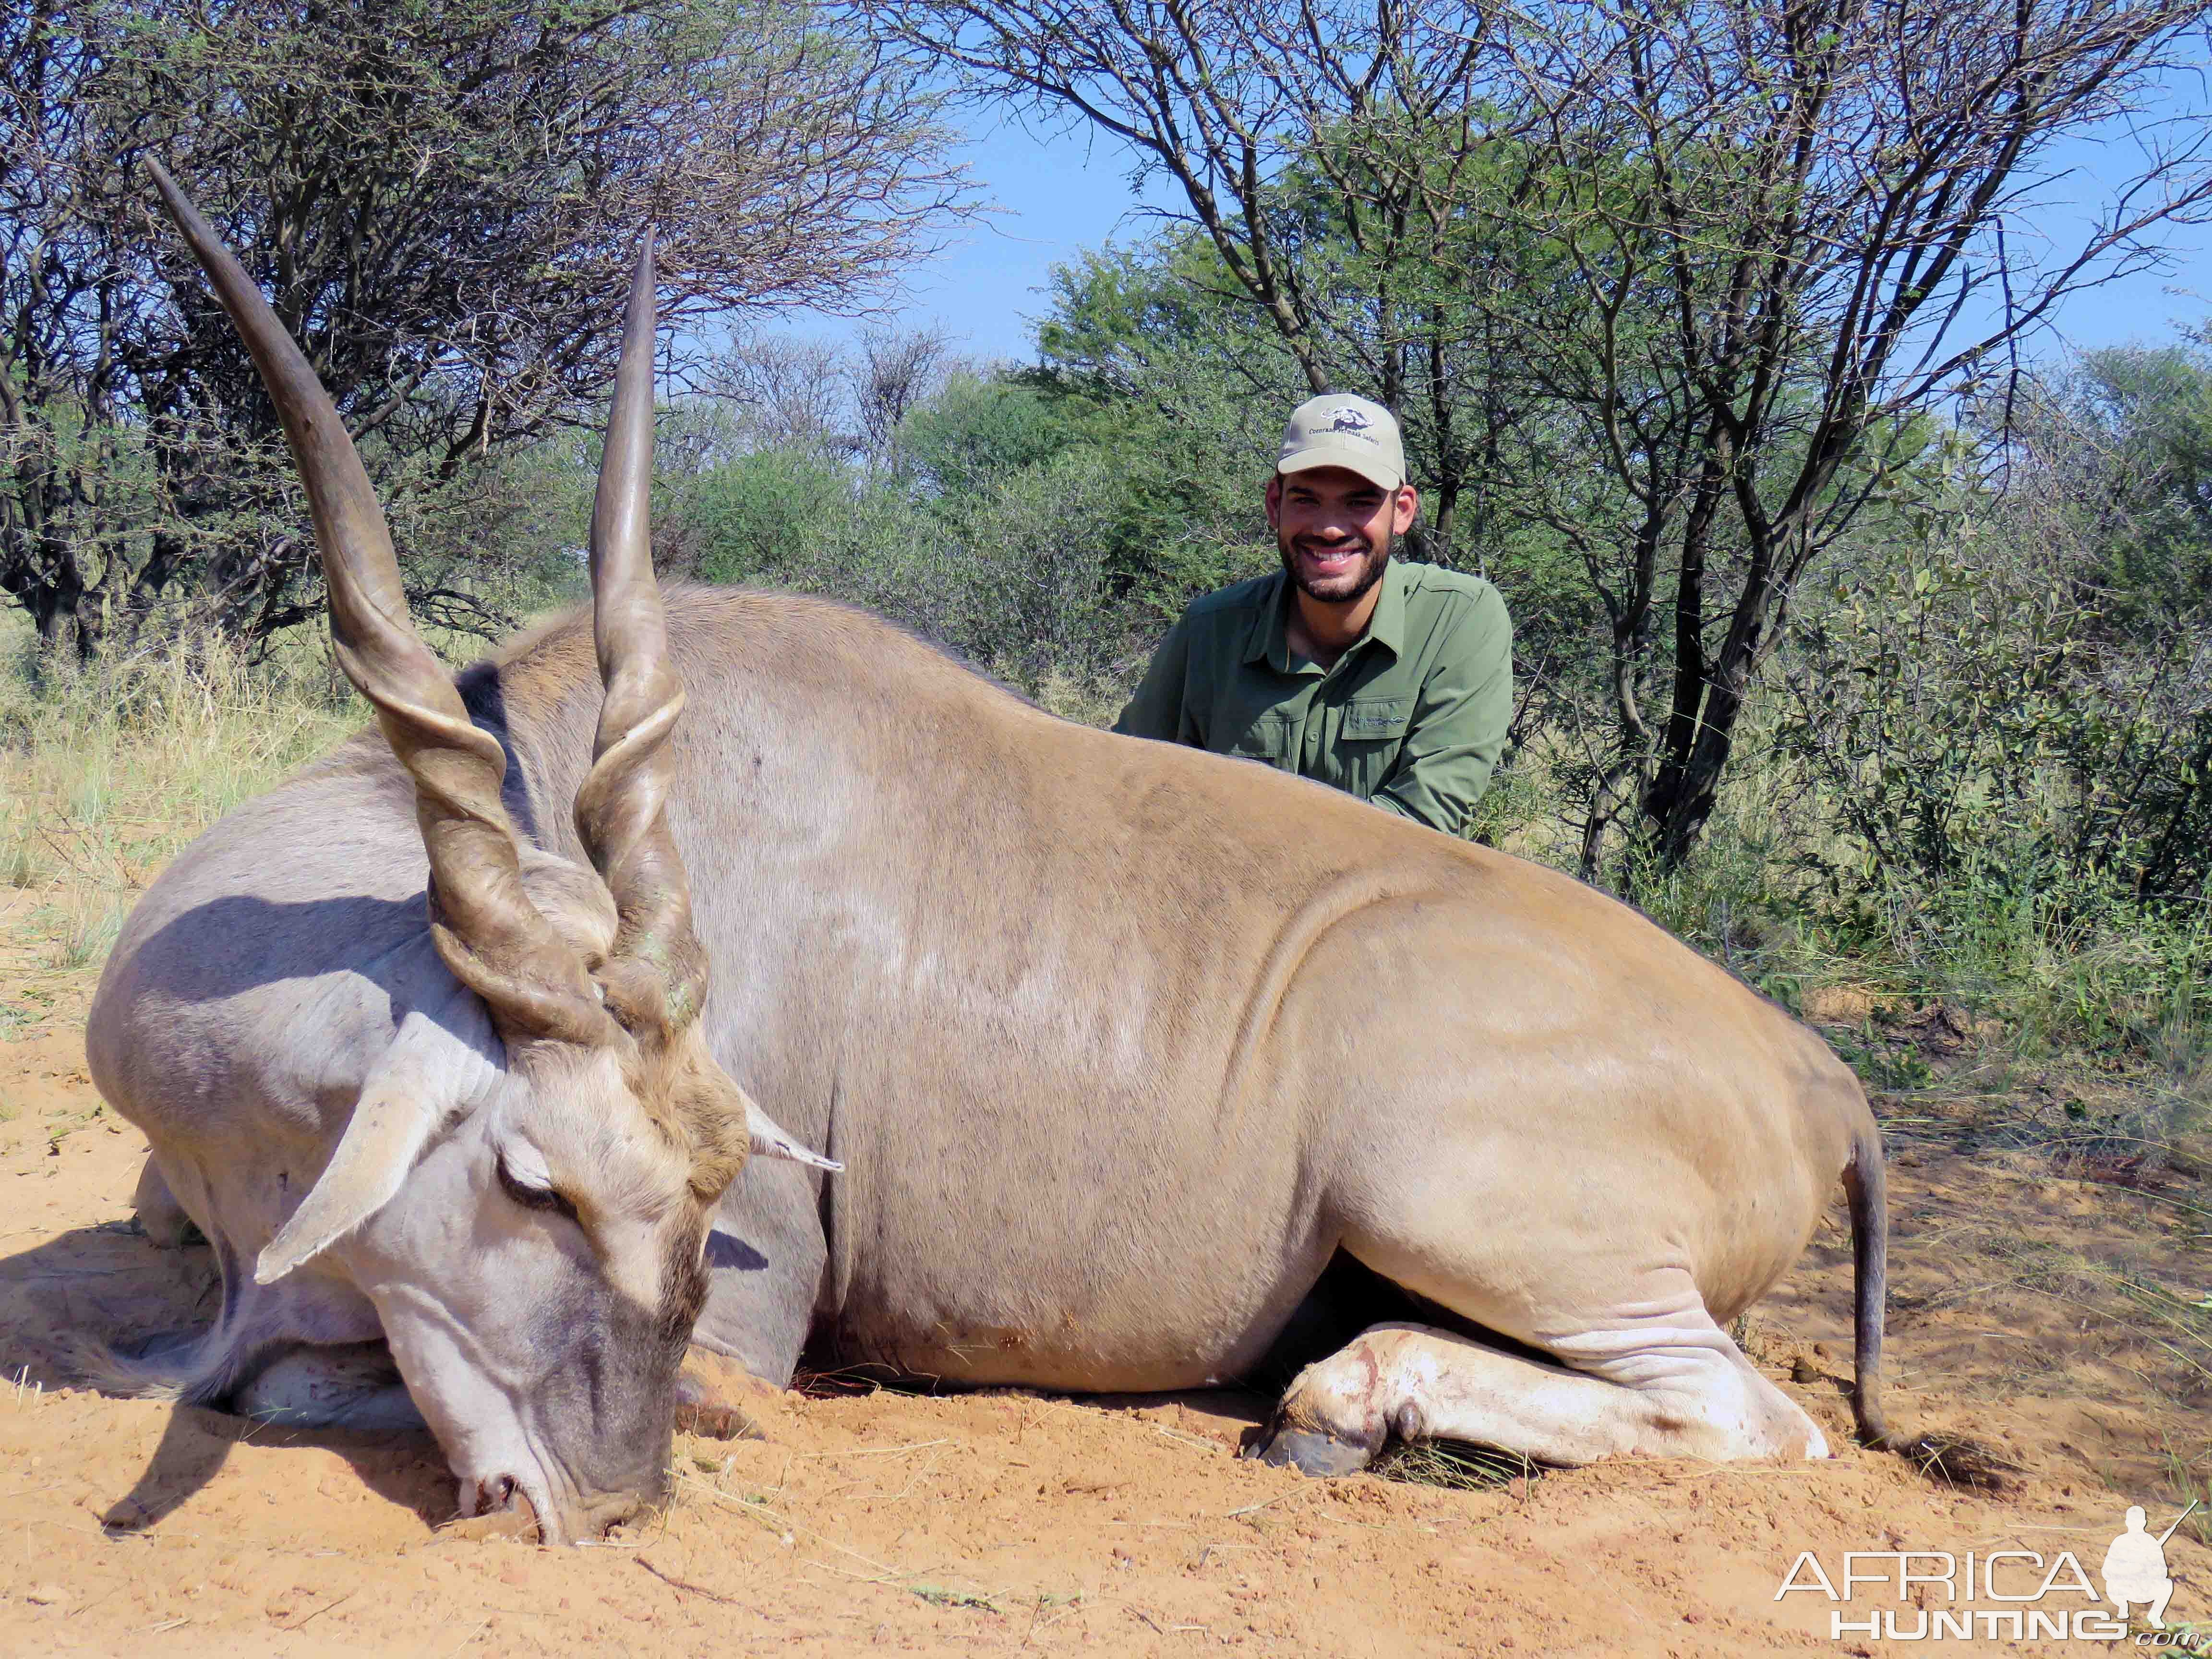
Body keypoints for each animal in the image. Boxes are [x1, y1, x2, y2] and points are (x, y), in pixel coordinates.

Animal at [82, 166, 1902, 1548]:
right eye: (530, 1181)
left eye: (696, 1196)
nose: (599, 1503)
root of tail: (1819, 1078)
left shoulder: (739, 1330)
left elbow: (287, 1371)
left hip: (1463, 1207)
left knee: (1756, 1417)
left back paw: (1347, 1398)